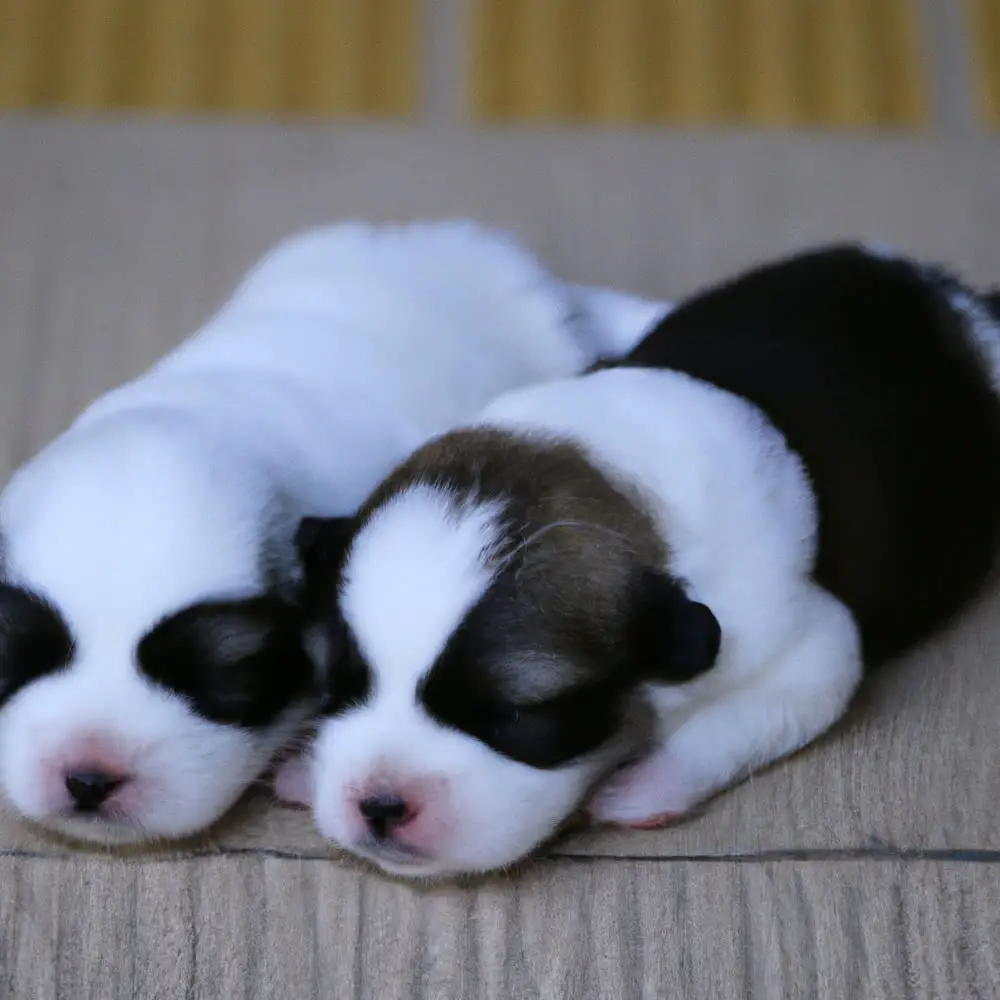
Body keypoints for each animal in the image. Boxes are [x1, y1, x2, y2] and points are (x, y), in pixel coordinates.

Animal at [284, 246, 1000, 880]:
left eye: (517, 717)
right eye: (342, 685)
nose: (379, 804)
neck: (613, 475)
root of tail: (962, 304)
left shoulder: (808, 645)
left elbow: (739, 718)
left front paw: (645, 786)